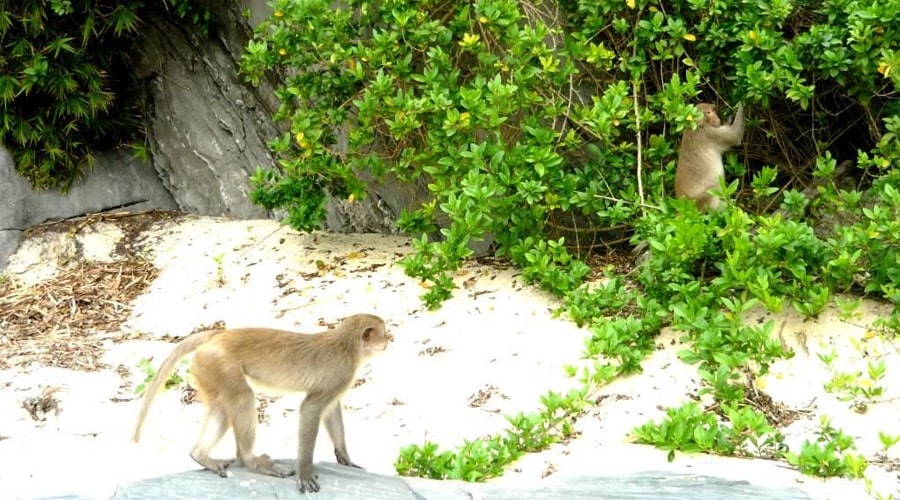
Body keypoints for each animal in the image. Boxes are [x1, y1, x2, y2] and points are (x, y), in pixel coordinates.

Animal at [132, 314, 392, 494]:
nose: (390, 339)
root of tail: (217, 335)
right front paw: (306, 473)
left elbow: (330, 410)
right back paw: (250, 459)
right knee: (242, 398)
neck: (347, 346)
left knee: (222, 408)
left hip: (206, 368)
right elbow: (310, 408)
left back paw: (200, 455)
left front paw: (345, 458)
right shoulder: (341, 372)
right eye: (384, 332)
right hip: (219, 363)